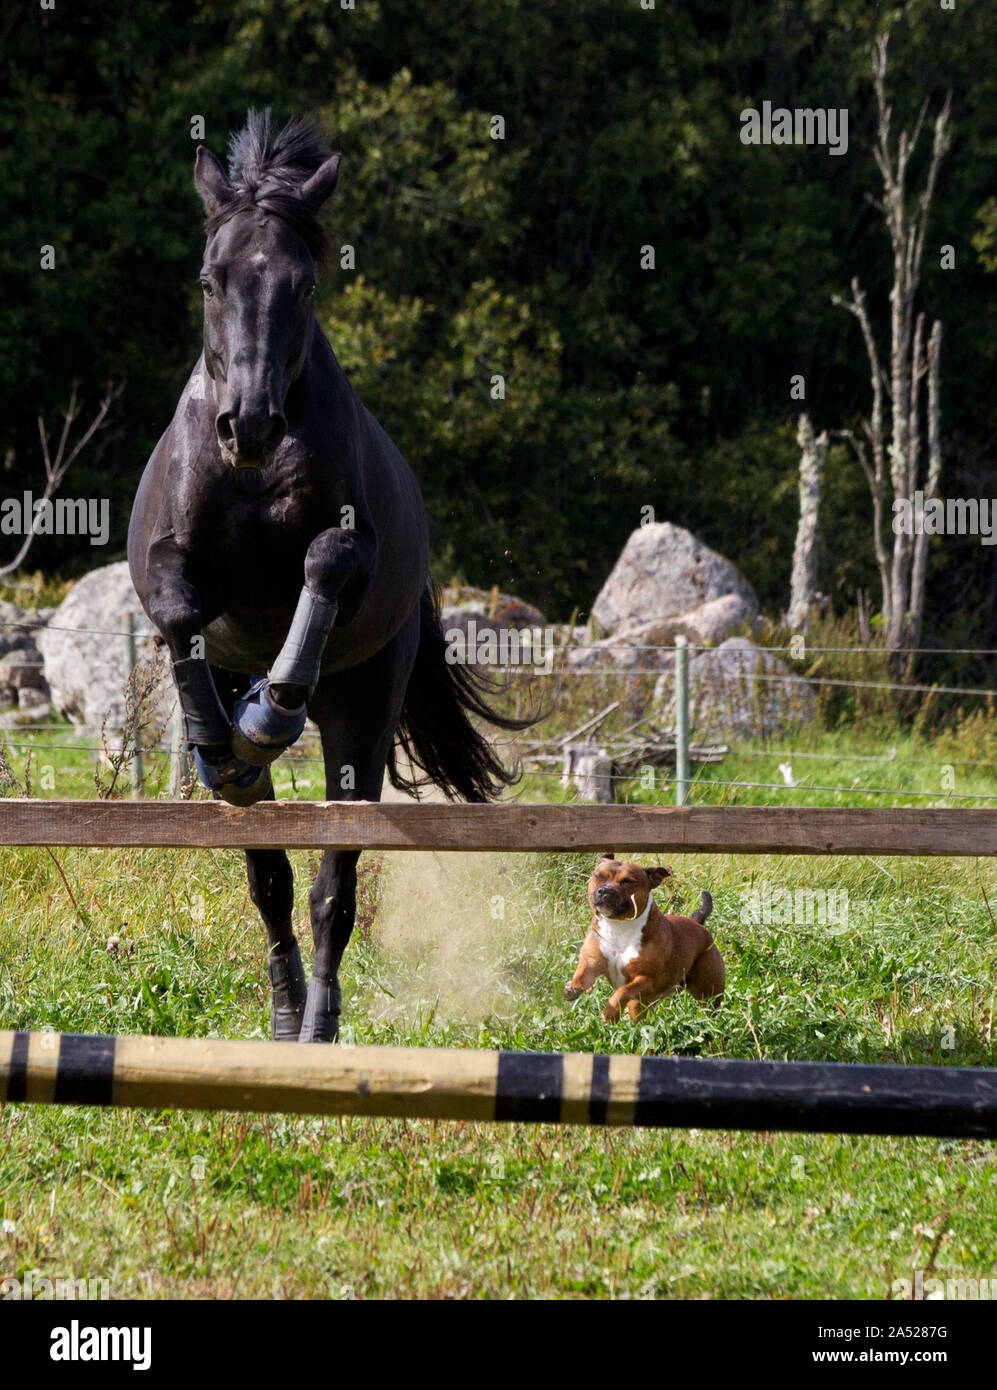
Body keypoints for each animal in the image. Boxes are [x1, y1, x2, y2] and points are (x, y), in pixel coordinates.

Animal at [128, 110, 527, 1043]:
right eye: (210, 280)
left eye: (303, 286)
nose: (249, 426)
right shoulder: (170, 563)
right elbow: (178, 605)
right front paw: (223, 740)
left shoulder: (355, 549)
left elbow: (323, 560)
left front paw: (274, 706)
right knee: (270, 879)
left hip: (364, 707)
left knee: (331, 888)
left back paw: (317, 1025)